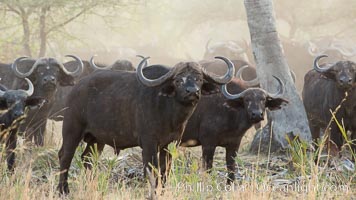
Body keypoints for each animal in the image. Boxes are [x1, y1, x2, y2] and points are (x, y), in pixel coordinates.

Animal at [57, 55, 236, 193]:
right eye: (178, 80)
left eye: (199, 79)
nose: (192, 92)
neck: (169, 112)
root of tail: (76, 88)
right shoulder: (149, 144)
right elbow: (152, 170)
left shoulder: (170, 145)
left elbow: (164, 171)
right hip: (72, 130)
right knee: (65, 156)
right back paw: (63, 190)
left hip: (97, 140)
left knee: (87, 159)